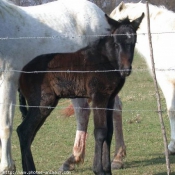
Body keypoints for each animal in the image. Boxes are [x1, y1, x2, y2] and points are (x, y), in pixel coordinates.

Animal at [0, 0, 111, 172]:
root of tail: (99, 13)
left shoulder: (8, 80)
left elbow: (5, 125)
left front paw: (6, 167)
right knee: (83, 112)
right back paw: (73, 159)